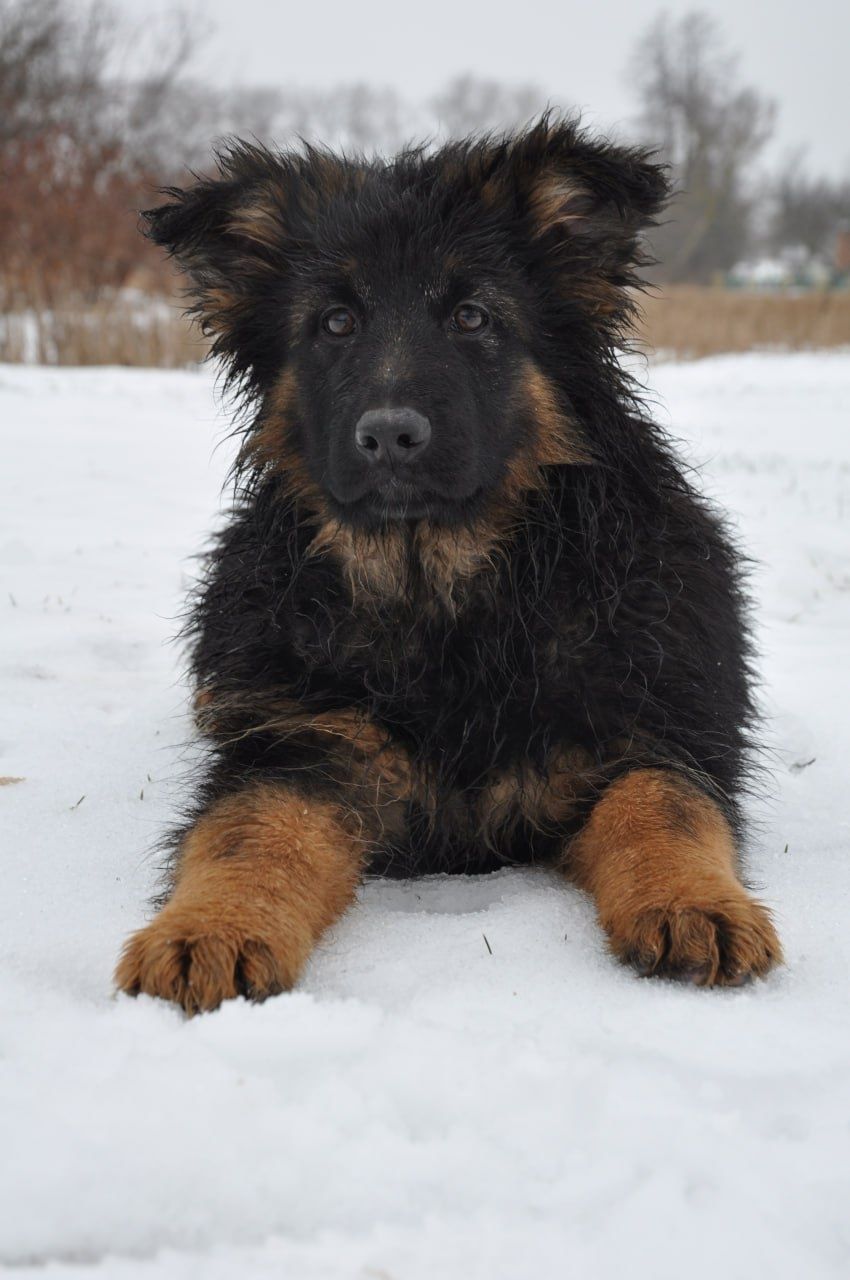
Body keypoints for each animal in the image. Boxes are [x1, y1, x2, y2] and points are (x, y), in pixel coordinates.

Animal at [114, 117, 783, 1008]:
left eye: (471, 317)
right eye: (335, 323)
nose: (390, 435)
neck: (438, 587)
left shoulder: (648, 731)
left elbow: (665, 805)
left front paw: (696, 904)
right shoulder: (302, 750)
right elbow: (248, 832)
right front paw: (206, 930)